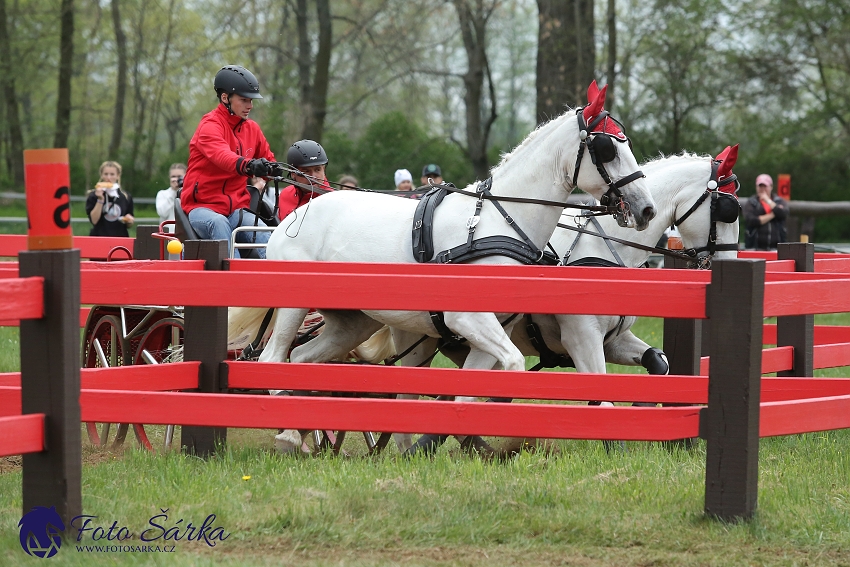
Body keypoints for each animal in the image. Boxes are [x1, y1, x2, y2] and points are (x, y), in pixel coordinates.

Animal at [230, 81, 656, 452]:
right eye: (607, 148)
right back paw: (288, 434)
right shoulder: (467, 319)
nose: (646, 208)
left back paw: (306, 431)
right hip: (293, 308)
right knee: (273, 359)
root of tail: (292, 217)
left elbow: (468, 390)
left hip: (352, 321)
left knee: (303, 360)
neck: (499, 221)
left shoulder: (494, 327)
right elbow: (512, 367)